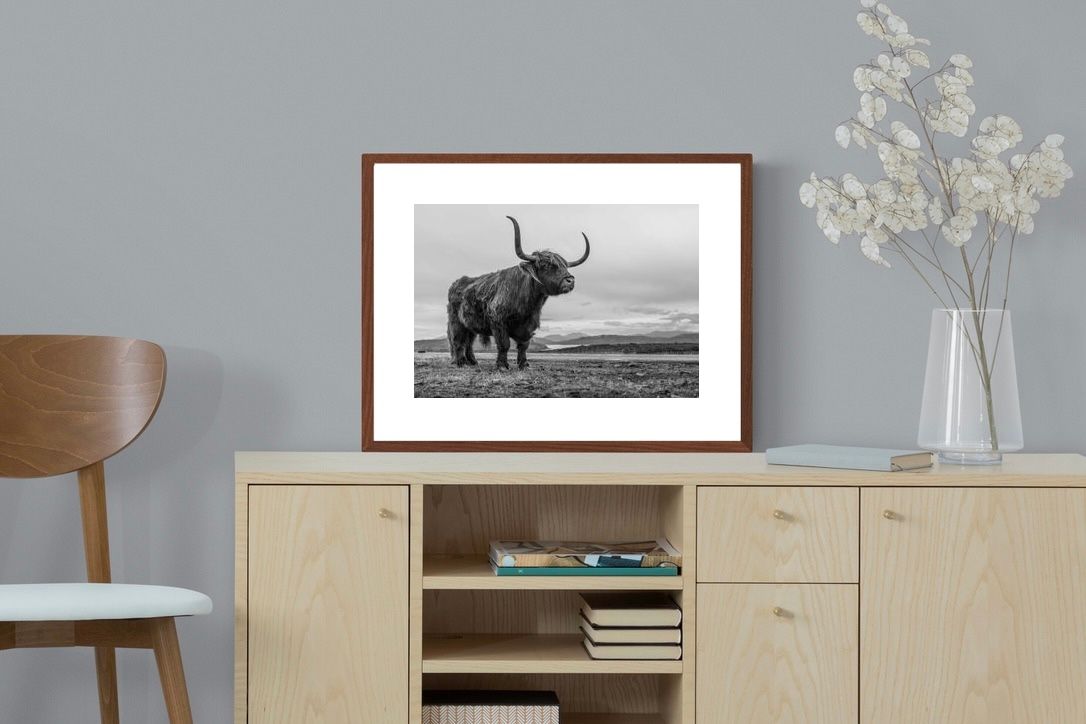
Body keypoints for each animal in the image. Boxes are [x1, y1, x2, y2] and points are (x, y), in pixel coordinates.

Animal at [446, 216, 590, 370]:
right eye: (545, 265)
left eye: (565, 266)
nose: (570, 280)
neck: (528, 305)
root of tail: (457, 283)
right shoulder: (498, 322)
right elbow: (504, 344)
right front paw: (502, 365)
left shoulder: (529, 325)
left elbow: (523, 345)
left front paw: (524, 364)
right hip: (456, 322)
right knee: (458, 340)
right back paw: (460, 362)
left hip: (470, 325)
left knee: (469, 342)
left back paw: (472, 361)